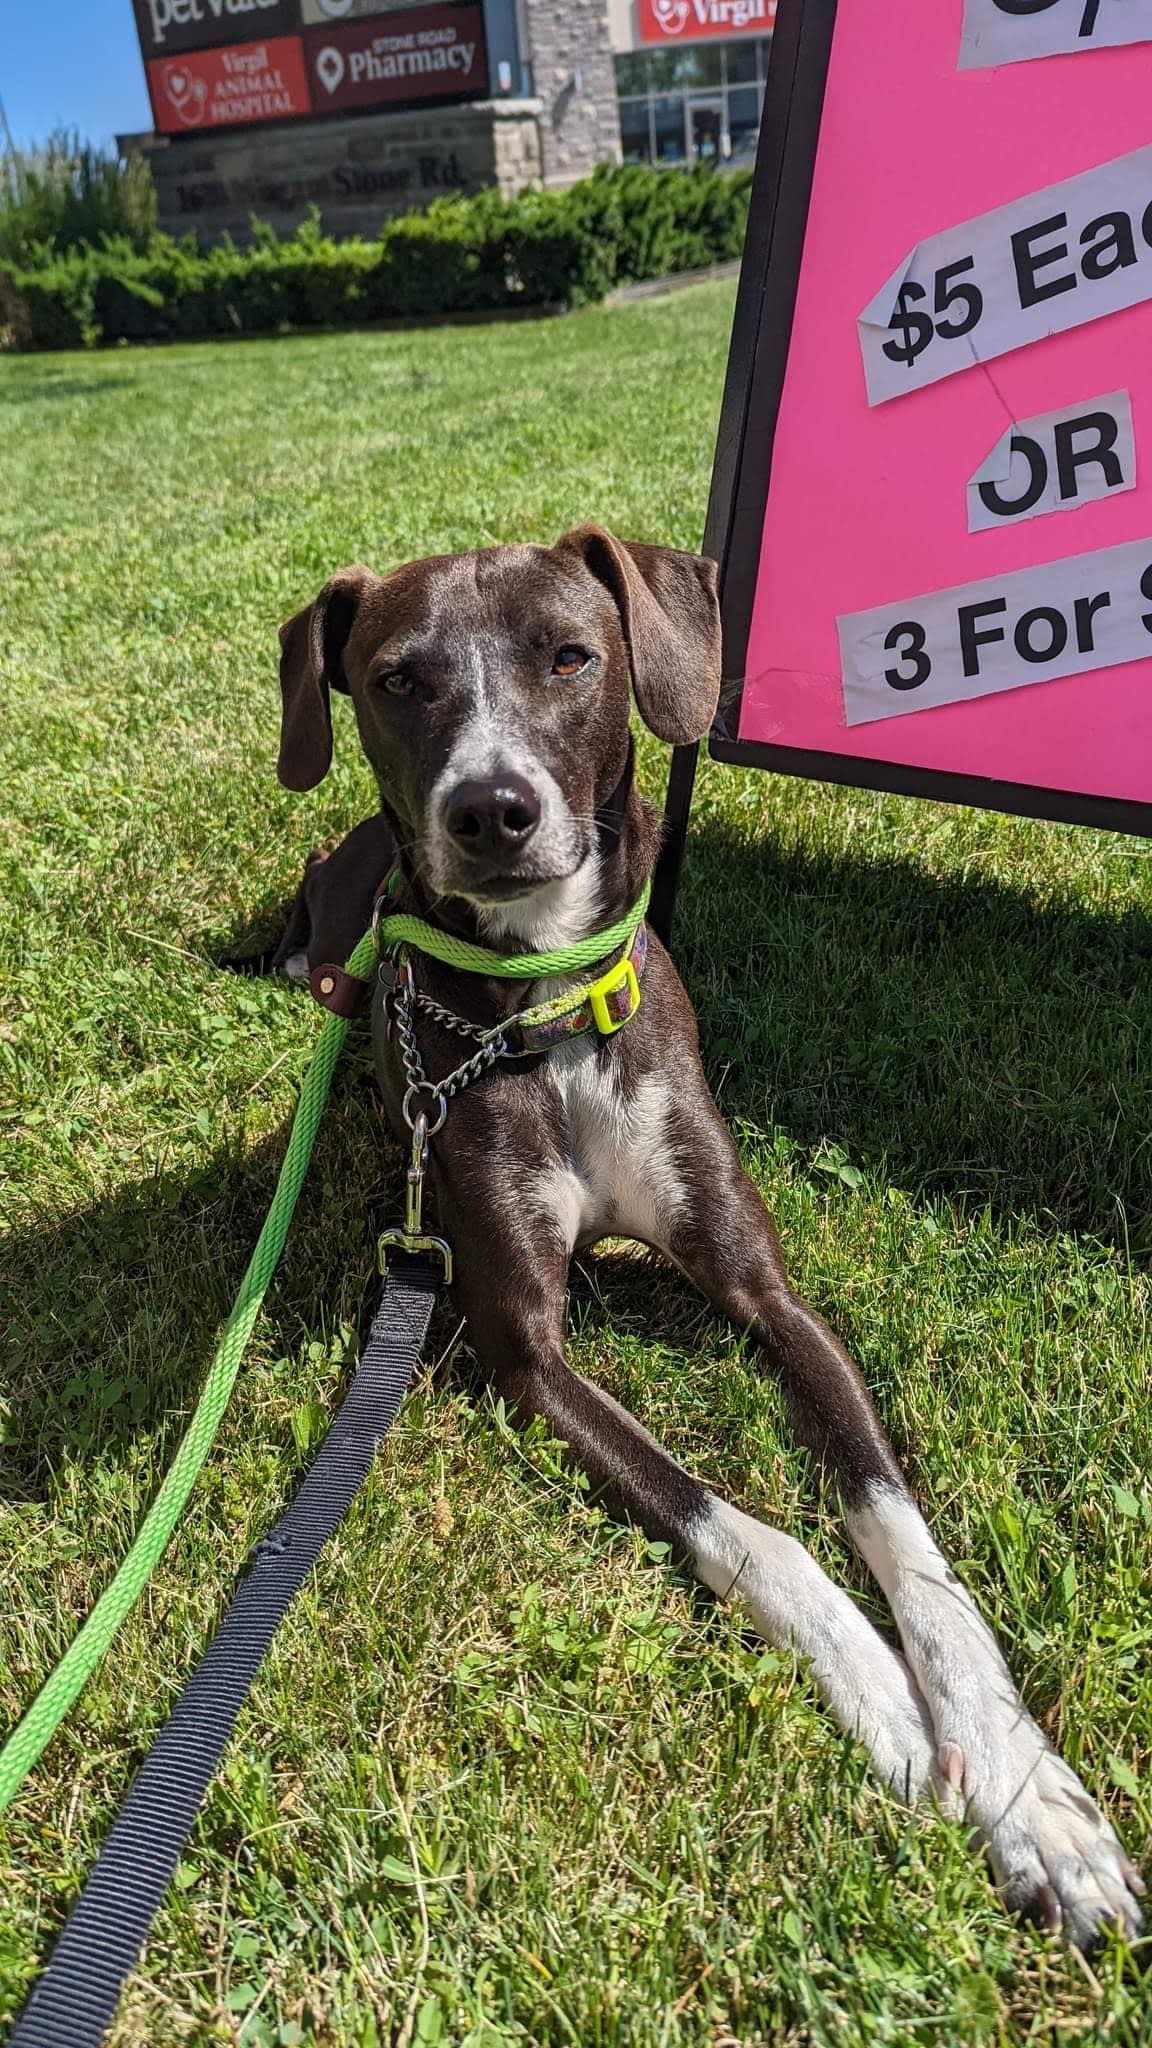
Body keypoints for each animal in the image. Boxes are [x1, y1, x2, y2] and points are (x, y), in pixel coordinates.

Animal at [270, 520, 1139, 1941]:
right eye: (395, 680)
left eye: (571, 656)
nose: (491, 810)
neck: (549, 1006)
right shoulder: (525, 1354)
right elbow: (746, 1523)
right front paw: (889, 1701)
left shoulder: (769, 1295)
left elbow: (902, 1531)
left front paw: (1027, 1786)